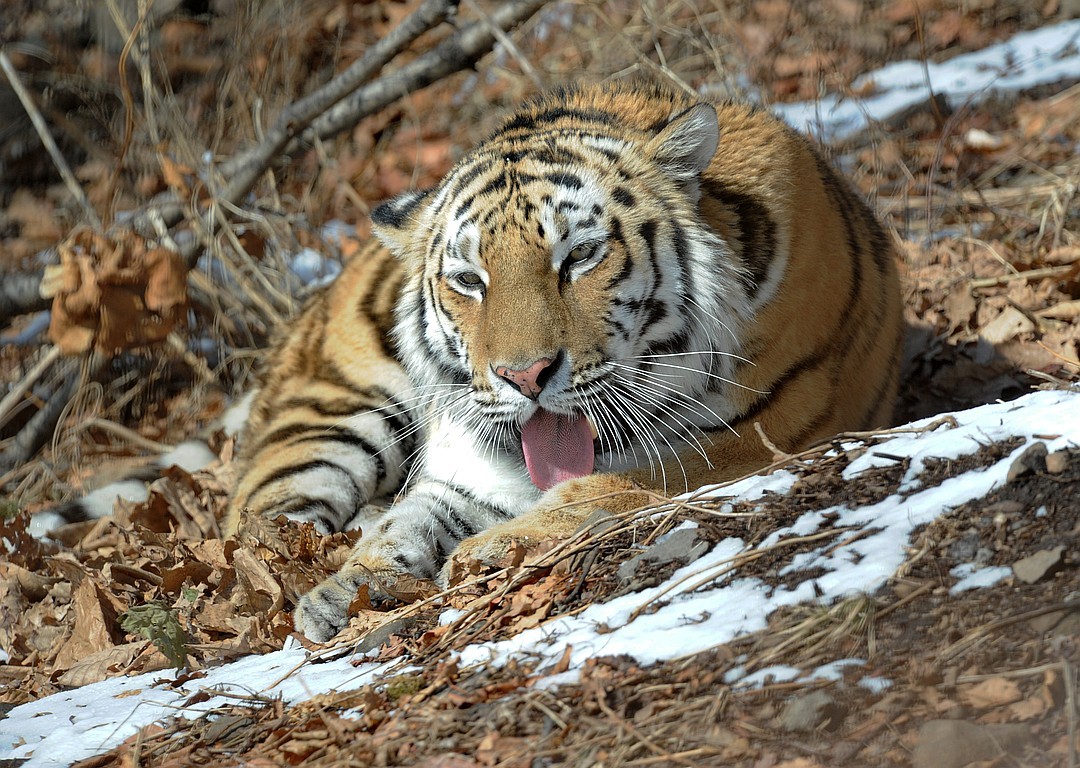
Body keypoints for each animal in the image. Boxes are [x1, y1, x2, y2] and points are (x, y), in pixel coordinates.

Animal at [217, 79, 902, 643]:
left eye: (579, 256)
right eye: (470, 281)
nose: (524, 377)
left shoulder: (753, 439)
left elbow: (606, 488)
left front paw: (489, 551)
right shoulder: (469, 467)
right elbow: (408, 524)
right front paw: (347, 592)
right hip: (330, 420)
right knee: (257, 530)